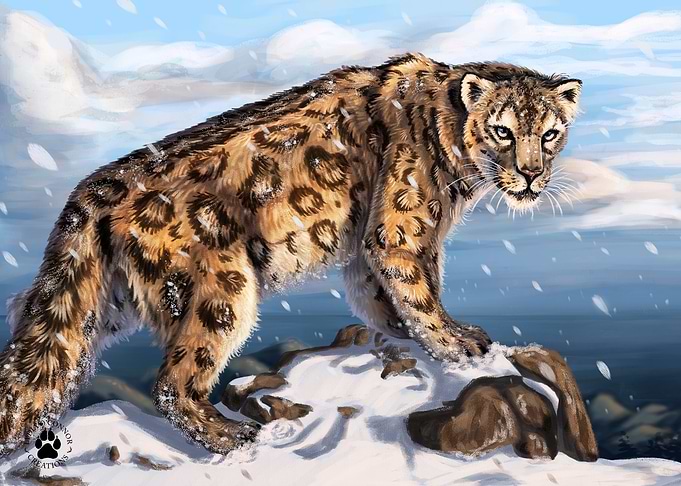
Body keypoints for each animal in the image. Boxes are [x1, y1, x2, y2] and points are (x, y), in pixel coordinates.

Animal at [0, 53, 581, 456]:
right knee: (174, 383)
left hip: (104, 307)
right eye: (502, 130)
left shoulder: (366, 248)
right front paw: (460, 345)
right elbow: (421, 292)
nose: (532, 174)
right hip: (222, 289)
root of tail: (91, 193)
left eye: (551, 133)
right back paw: (234, 436)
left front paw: (401, 335)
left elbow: (381, 296)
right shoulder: (401, 228)